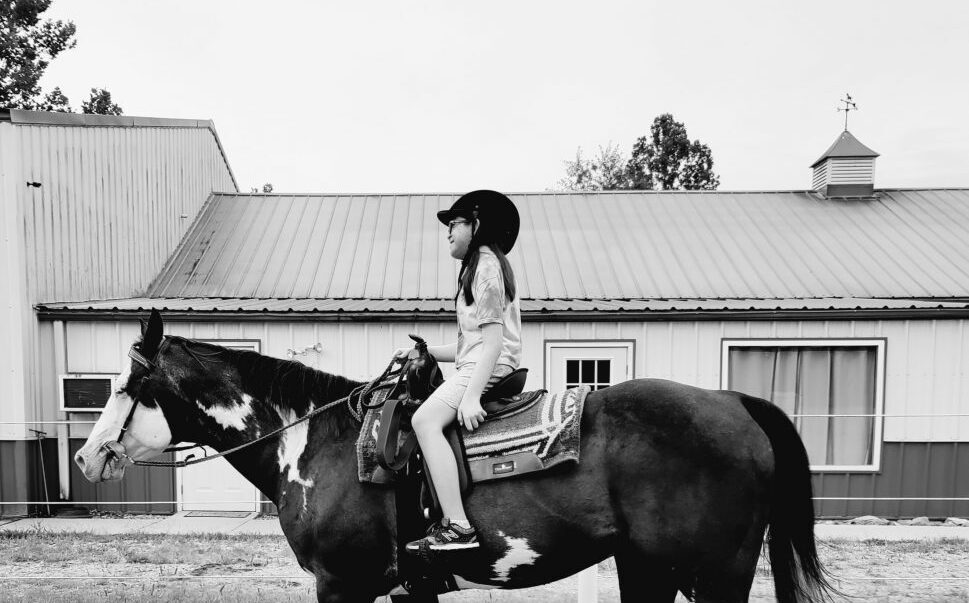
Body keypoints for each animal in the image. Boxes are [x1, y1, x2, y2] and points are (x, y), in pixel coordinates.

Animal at [75, 310, 833, 603]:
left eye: (125, 386)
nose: (86, 456)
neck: (317, 443)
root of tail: (734, 402)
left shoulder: (340, 584)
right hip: (646, 567)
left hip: (716, 574)